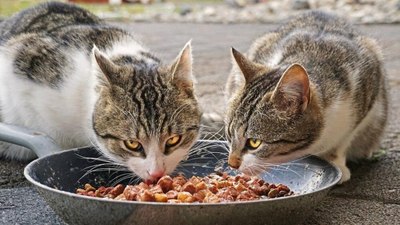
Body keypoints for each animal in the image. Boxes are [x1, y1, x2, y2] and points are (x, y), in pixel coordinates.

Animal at [223, 11, 386, 183]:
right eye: (229, 134)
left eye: (254, 142)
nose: (232, 163)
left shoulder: (367, 89)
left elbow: (343, 140)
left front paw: (336, 161)